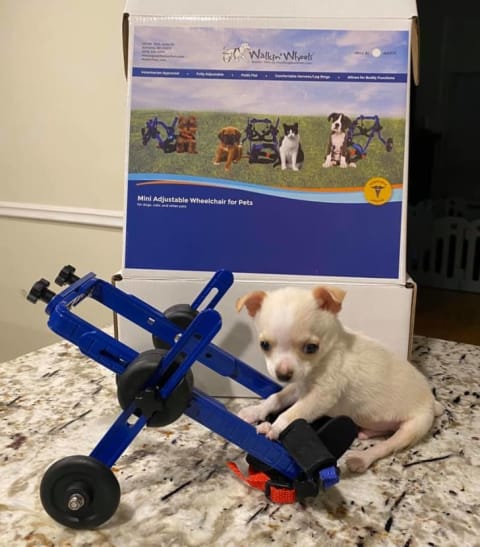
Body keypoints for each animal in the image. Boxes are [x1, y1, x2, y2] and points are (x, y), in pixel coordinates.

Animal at [236, 288, 442, 474]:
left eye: (311, 347)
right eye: (264, 345)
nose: (283, 375)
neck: (323, 360)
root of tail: (433, 402)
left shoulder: (320, 398)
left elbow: (292, 413)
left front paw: (275, 427)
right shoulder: (298, 388)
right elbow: (275, 398)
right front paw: (255, 411)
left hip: (413, 428)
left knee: (387, 445)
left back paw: (361, 458)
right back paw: (367, 433)